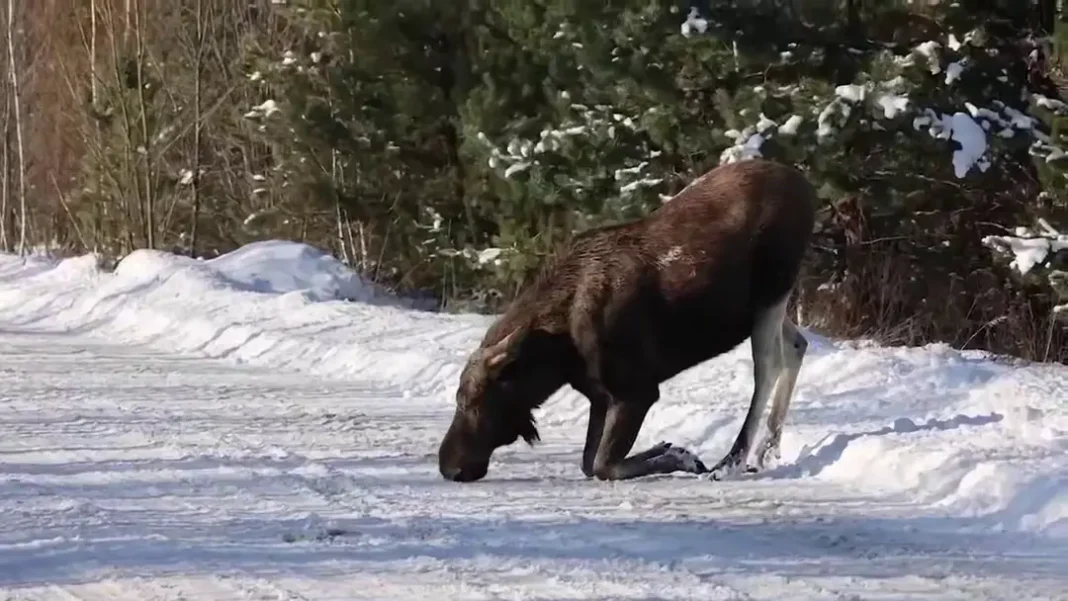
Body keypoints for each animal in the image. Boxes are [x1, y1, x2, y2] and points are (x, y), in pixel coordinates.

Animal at [437, 158, 816, 483]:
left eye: (470, 399)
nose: (447, 466)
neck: (558, 356)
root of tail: (806, 186)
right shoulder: (600, 395)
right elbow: (590, 461)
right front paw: (669, 448)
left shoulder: (636, 390)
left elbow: (603, 464)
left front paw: (682, 456)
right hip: (761, 307)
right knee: (797, 344)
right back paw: (767, 450)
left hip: (773, 287)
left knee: (769, 363)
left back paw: (733, 460)